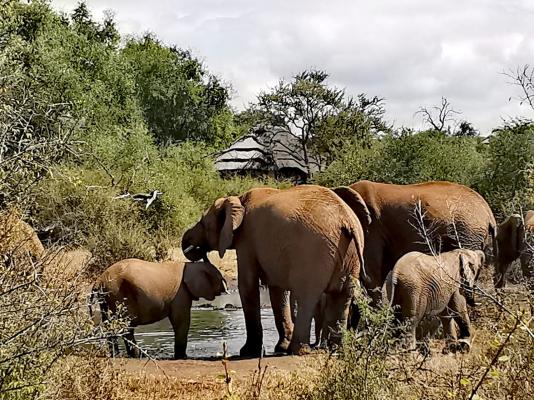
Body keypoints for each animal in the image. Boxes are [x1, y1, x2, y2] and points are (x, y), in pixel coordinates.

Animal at [92, 260, 228, 360]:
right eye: (219, 276)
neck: (192, 264)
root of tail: (99, 280)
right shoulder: (181, 294)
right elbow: (181, 322)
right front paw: (182, 357)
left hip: (106, 298)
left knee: (112, 324)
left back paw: (118, 355)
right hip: (117, 294)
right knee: (126, 326)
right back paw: (135, 355)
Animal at [182, 184, 370, 356]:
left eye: (203, 223)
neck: (239, 200)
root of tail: (346, 219)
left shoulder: (246, 240)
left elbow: (247, 286)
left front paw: (248, 352)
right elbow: (277, 291)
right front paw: (280, 348)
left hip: (314, 251)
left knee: (306, 296)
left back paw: (300, 351)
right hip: (351, 253)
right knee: (342, 296)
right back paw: (335, 350)